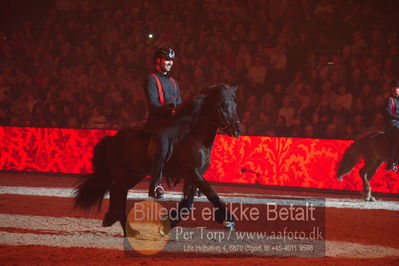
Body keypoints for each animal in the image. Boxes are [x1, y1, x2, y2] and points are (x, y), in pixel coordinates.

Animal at [74, 84, 241, 235]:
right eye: (224, 105)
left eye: (235, 105)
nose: (237, 130)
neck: (195, 138)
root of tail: (113, 138)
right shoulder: (193, 173)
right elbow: (212, 194)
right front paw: (228, 220)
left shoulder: (192, 177)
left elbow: (187, 204)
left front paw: (165, 226)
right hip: (122, 173)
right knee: (119, 197)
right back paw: (129, 230)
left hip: (133, 175)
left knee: (117, 193)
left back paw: (113, 220)